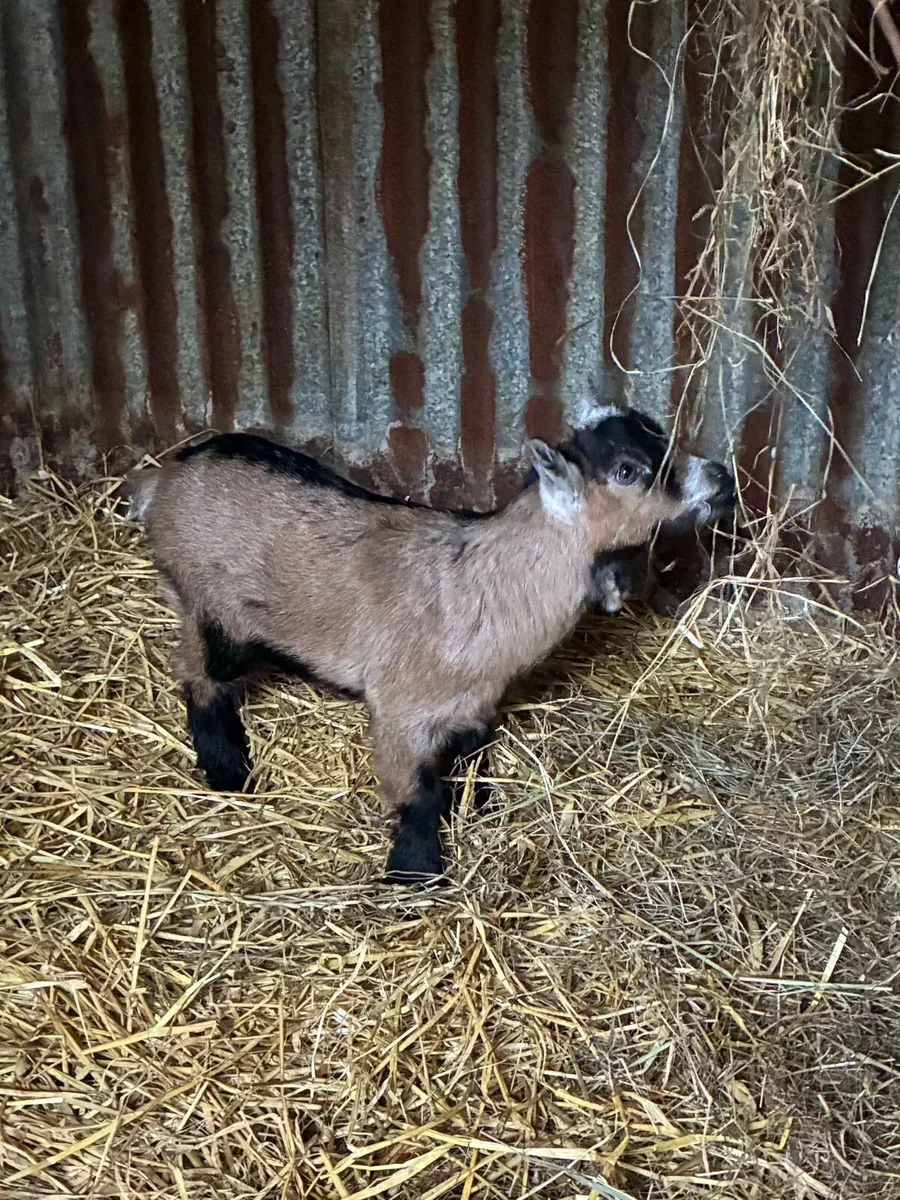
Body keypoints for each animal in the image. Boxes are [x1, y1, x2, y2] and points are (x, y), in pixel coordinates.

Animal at [128, 405, 735, 884]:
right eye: (628, 471)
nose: (722, 477)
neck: (482, 585)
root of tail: (170, 475)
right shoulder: (400, 710)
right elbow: (419, 794)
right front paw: (415, 874)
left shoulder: (474, 703)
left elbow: (471, 759)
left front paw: (478, 807)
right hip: (215, 610)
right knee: (197, 672)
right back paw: (228, 769)